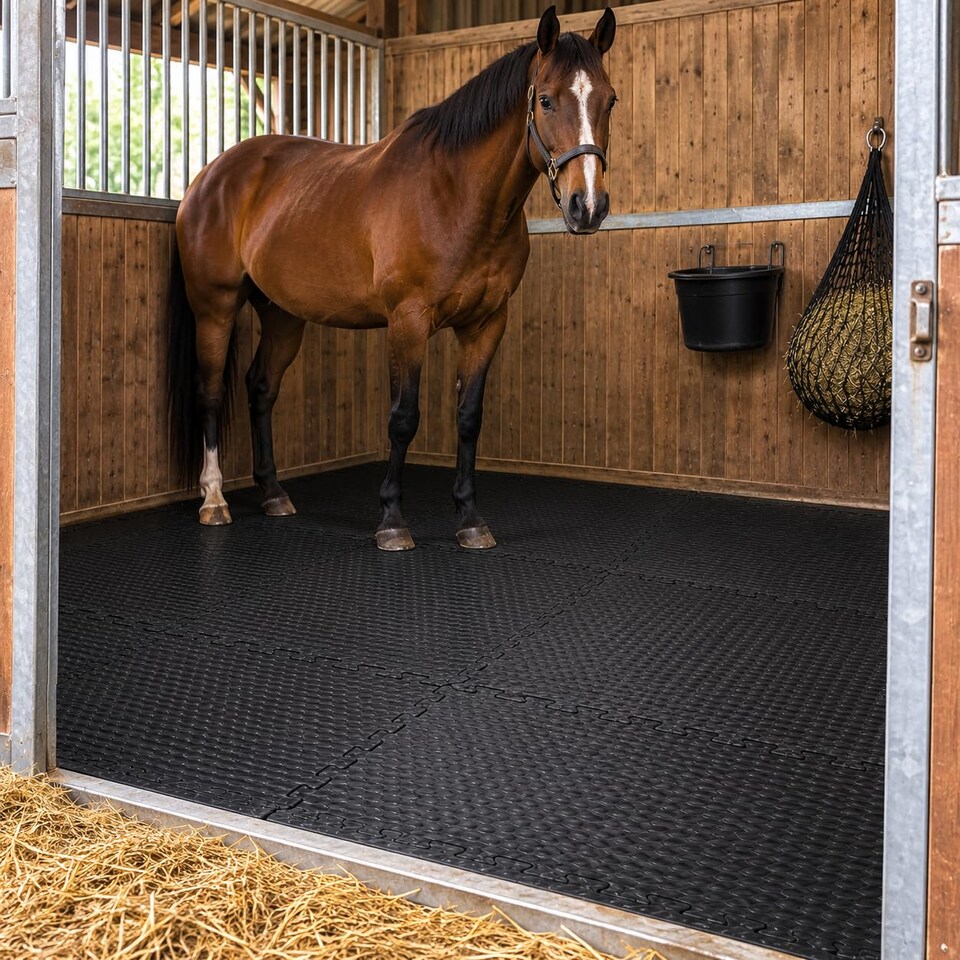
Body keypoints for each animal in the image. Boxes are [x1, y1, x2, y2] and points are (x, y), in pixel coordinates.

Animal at [167, 5, 617, 550]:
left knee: (260, 388)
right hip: (215, 308)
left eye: (610, 100)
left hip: (283, 316)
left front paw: (470, 519)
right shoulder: (408, 321)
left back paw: (274, 493)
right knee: (211, 393)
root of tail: (211, 176)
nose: (587, 206)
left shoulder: (487, 323)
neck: (455, 195)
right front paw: (392, 521)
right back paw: (214, 499)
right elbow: (403, 418)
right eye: (547, 99)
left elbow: (469, 417)